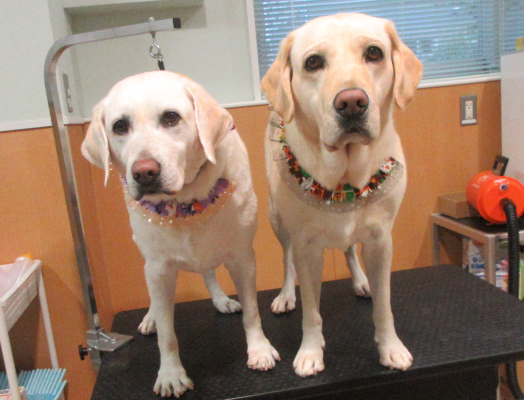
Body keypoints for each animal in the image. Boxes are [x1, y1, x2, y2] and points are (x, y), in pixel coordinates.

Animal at [82, 71, 279, 397]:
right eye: (119, 126)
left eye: (171, 117)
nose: (144, 172)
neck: (186, 198)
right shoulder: (159, 269)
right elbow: (167, 333)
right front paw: (171, 374)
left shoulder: (242, 256)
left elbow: (252, 312)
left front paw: (259, 350)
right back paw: (150, 317)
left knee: (209, 273)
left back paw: (222, 300)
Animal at [261, 13, 422, 377]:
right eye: (313, 62)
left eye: (374, 53)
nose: (351, 103)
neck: (344, 177)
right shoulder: (306, 247)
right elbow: (311, 311)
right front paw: (310, 352)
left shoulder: (381, 239)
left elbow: (384, 306)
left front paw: (390, 348)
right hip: (277, 220)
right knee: (286, 259)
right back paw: (285, 296)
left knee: (349, 250)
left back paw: (361, 282)